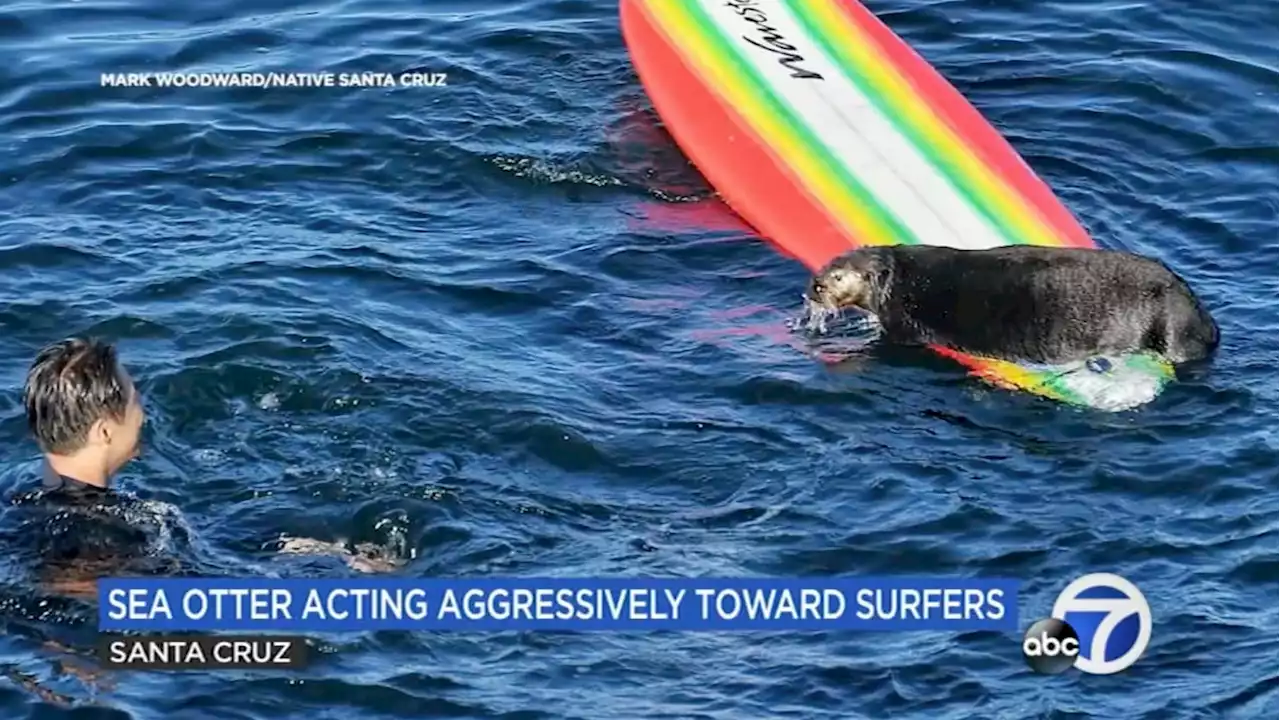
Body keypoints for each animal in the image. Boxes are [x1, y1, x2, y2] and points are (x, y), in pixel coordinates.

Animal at [803, 243, 1213, 363]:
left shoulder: (903, 321)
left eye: (838, 276)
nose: (816, 286)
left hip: (1170, 324)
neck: (903, 279)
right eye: (824, 266)